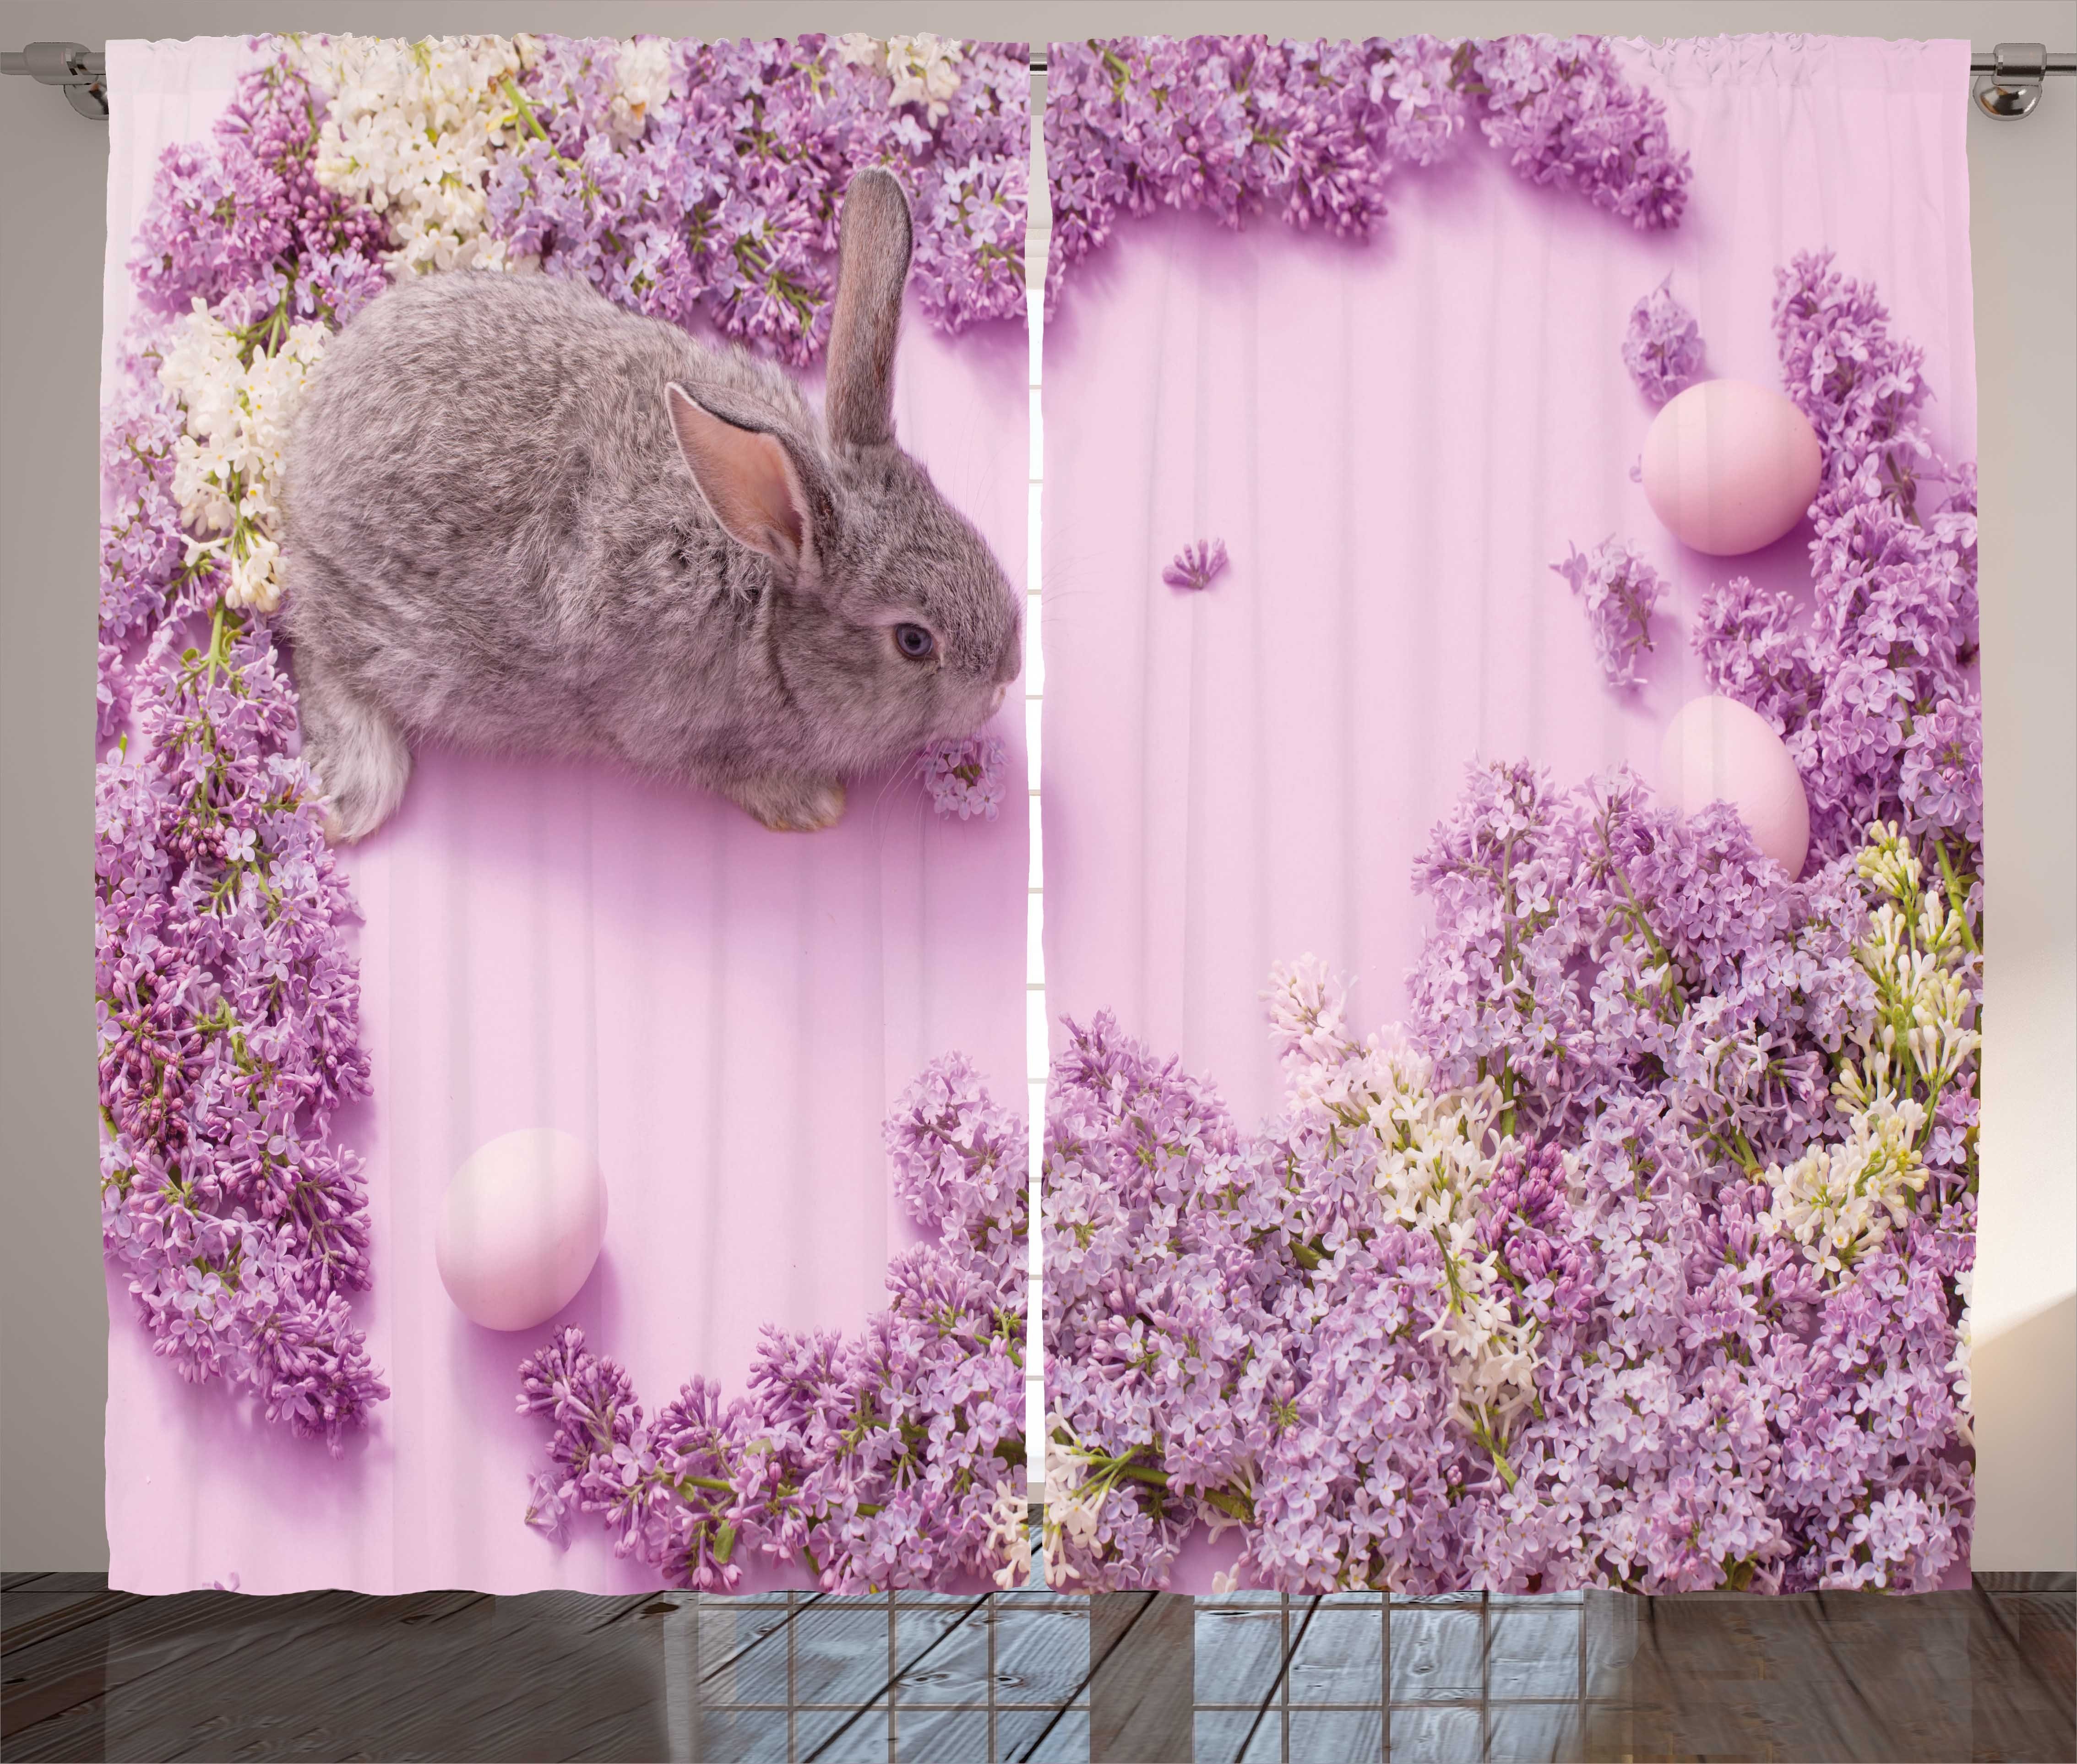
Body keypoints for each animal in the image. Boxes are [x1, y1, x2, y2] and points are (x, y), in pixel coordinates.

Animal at [280, 168, 1017, 835]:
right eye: (914, 641)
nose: (1008, 673)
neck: (769, 607)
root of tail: (310, 444)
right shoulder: (683, 736)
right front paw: (812, 806)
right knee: (317, 653)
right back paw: (352, 796)